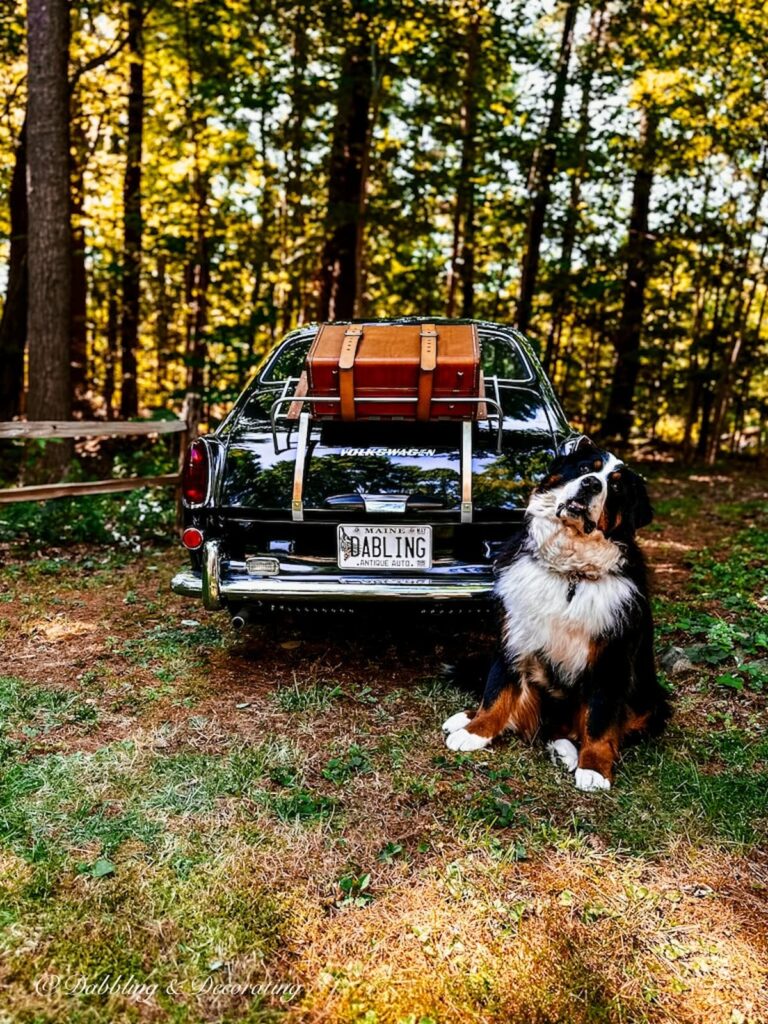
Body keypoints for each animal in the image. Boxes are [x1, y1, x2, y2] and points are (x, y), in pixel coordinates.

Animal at [442, 436, 671, 794]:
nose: (591, 485)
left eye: (616, 487)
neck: (570, 572)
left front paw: (594, 768)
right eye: (585, 468)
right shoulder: (514, 635)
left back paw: (569, 752)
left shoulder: (611, 658)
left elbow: (600, 718)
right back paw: (465, 718)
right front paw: (475, 730)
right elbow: (496, 691)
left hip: (650, 699)